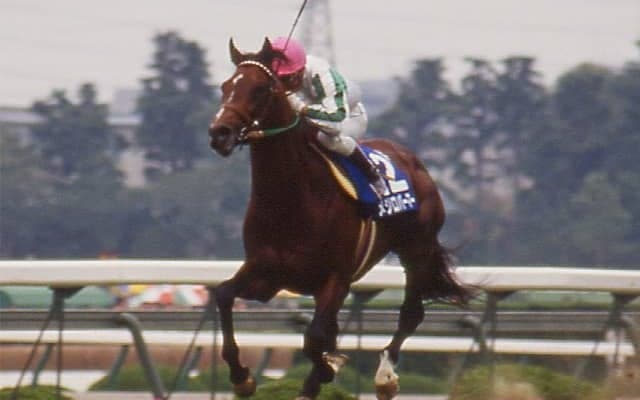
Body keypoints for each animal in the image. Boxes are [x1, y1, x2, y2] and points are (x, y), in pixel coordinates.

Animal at [208, 38, 470, 400]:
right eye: (225, 86)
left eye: (259, 89)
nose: (219, 132)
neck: (291, 201)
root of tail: (414, 161)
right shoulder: (266, 274)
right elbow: (223, 295)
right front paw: (241, 376)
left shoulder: (336, 278)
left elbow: (315, 339)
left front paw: (324, 372)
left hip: (416, 250)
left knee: (410, 314)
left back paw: (385, 377)